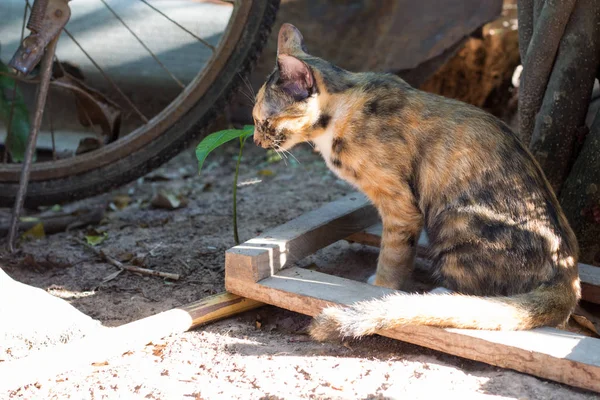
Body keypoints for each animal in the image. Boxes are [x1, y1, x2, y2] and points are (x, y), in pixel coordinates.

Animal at [251, 23, 580, 340]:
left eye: (263, 121)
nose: (255, 140)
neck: (343, 106)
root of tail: (568, 275)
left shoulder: (400, 204)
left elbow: (394, 254)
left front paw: (381, 286)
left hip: (453, 217)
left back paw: (438, 297)